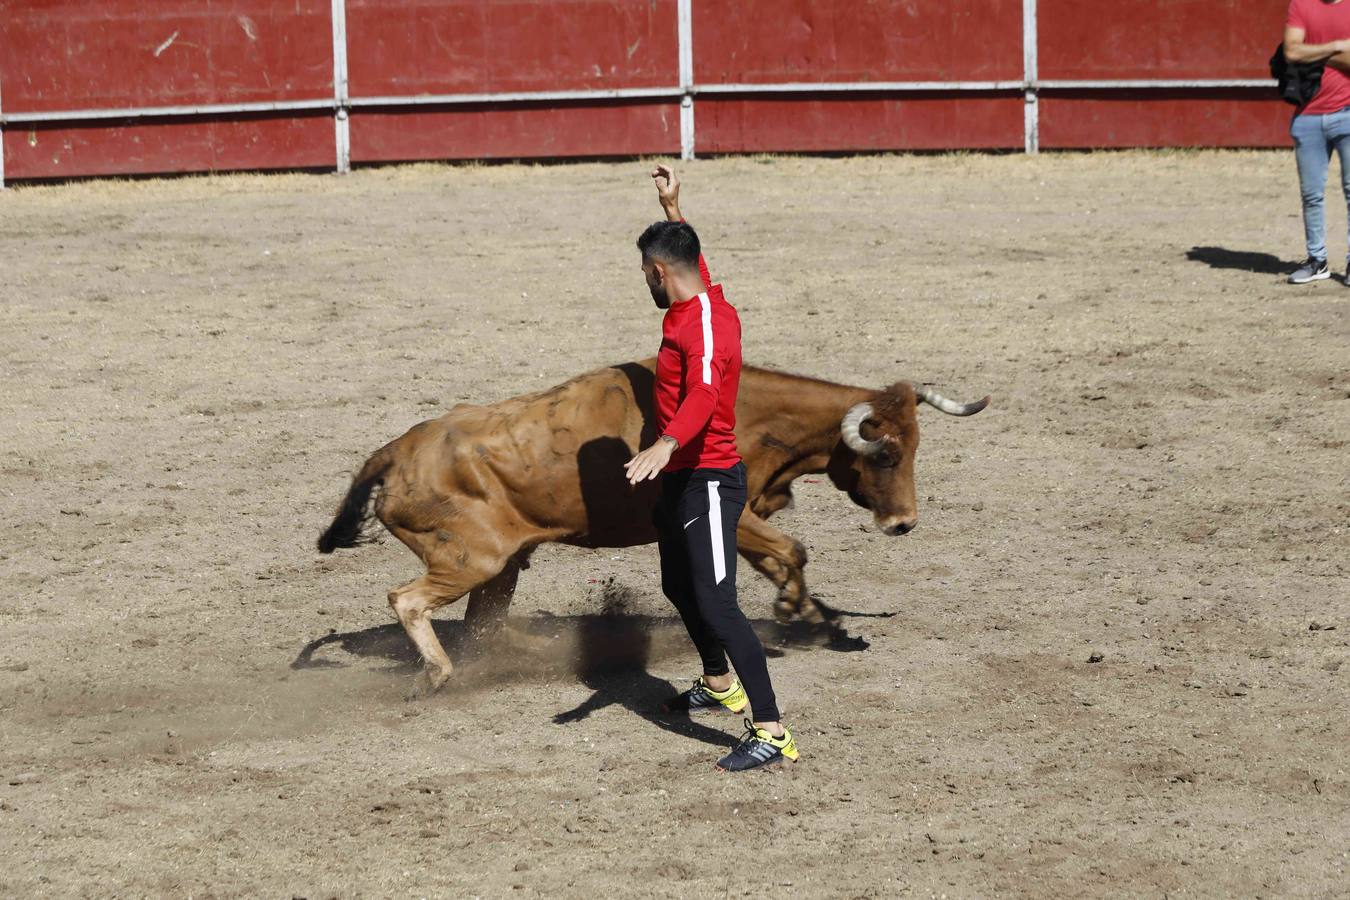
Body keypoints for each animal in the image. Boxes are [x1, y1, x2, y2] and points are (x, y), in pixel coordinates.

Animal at [319, 361, 988, 696]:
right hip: (469, 560)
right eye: (886, 454)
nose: (904, 523)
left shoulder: (741, 519)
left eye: (916, 445)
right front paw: (795, 609)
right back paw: (437, 673)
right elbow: (792, 550)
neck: (745, 412)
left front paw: (803, 611)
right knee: (407, 600)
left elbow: (780, 558)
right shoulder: (733, 516)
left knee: (487, 624)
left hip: (500, 566)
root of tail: (397, 451)